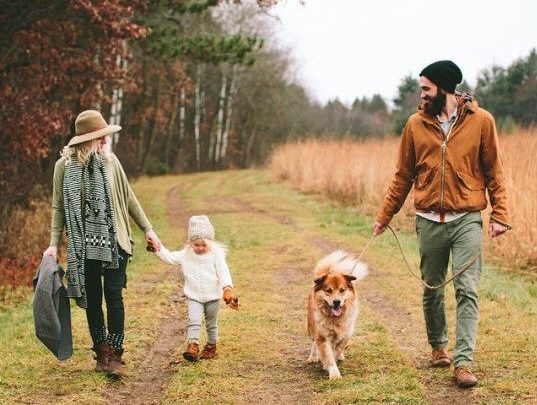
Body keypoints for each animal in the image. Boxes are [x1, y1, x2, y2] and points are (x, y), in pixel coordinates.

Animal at [308, 249, 366, 378]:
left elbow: (337, 349)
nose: (336, 301)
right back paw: (313, 356)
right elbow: (328, 355)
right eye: (328, 291)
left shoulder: (346, 333)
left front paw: (334, 359)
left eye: (342, 290)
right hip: (311, 327)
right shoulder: (323, 336)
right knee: (314, 342)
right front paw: (334, 374)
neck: (336, 318)